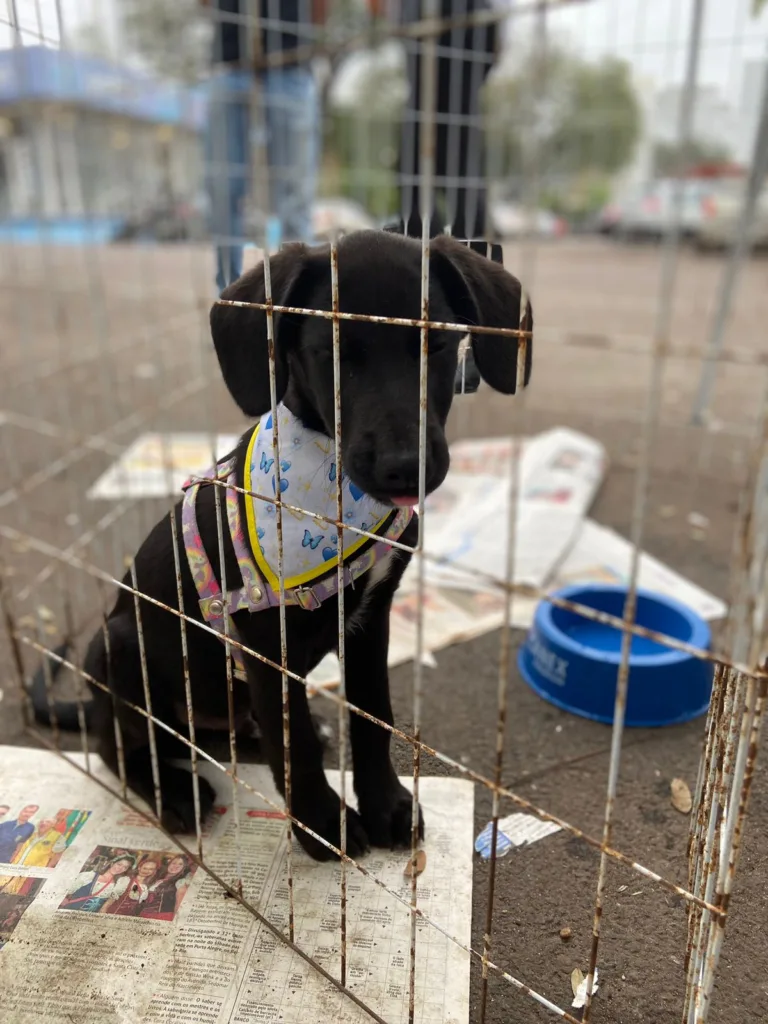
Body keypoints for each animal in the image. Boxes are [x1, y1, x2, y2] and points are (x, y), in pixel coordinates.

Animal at [30, 230, 532, 862]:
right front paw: (322, 823)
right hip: (117, 646)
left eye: (436, 345)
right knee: (119, 744)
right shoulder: (267, 640)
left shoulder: (371, 620)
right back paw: (174, 791)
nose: (404, 468)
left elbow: (372, 715)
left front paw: (386, 803)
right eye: (329, 353)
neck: (336, 498)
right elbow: (295, 741)